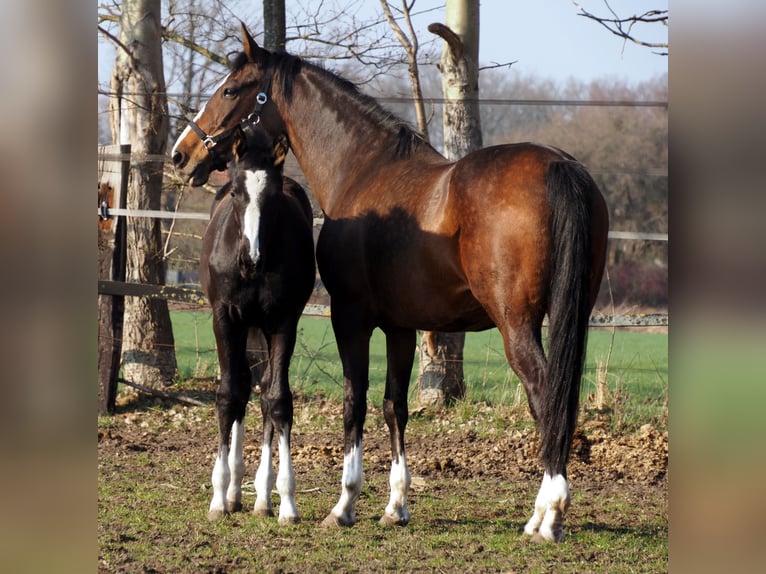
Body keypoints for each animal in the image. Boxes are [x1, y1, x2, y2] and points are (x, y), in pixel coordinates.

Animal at [198, 123, 316, 523]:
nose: (252, 259)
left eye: (274, 195)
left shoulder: (282, 322)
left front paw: (287, 502)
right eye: (236, 191)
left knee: (262, 389)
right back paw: (234, 491)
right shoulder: (225, 318)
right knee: (243, 387)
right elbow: (228, 394)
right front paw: (218, 497)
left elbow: (277, 399)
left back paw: (262, 497)